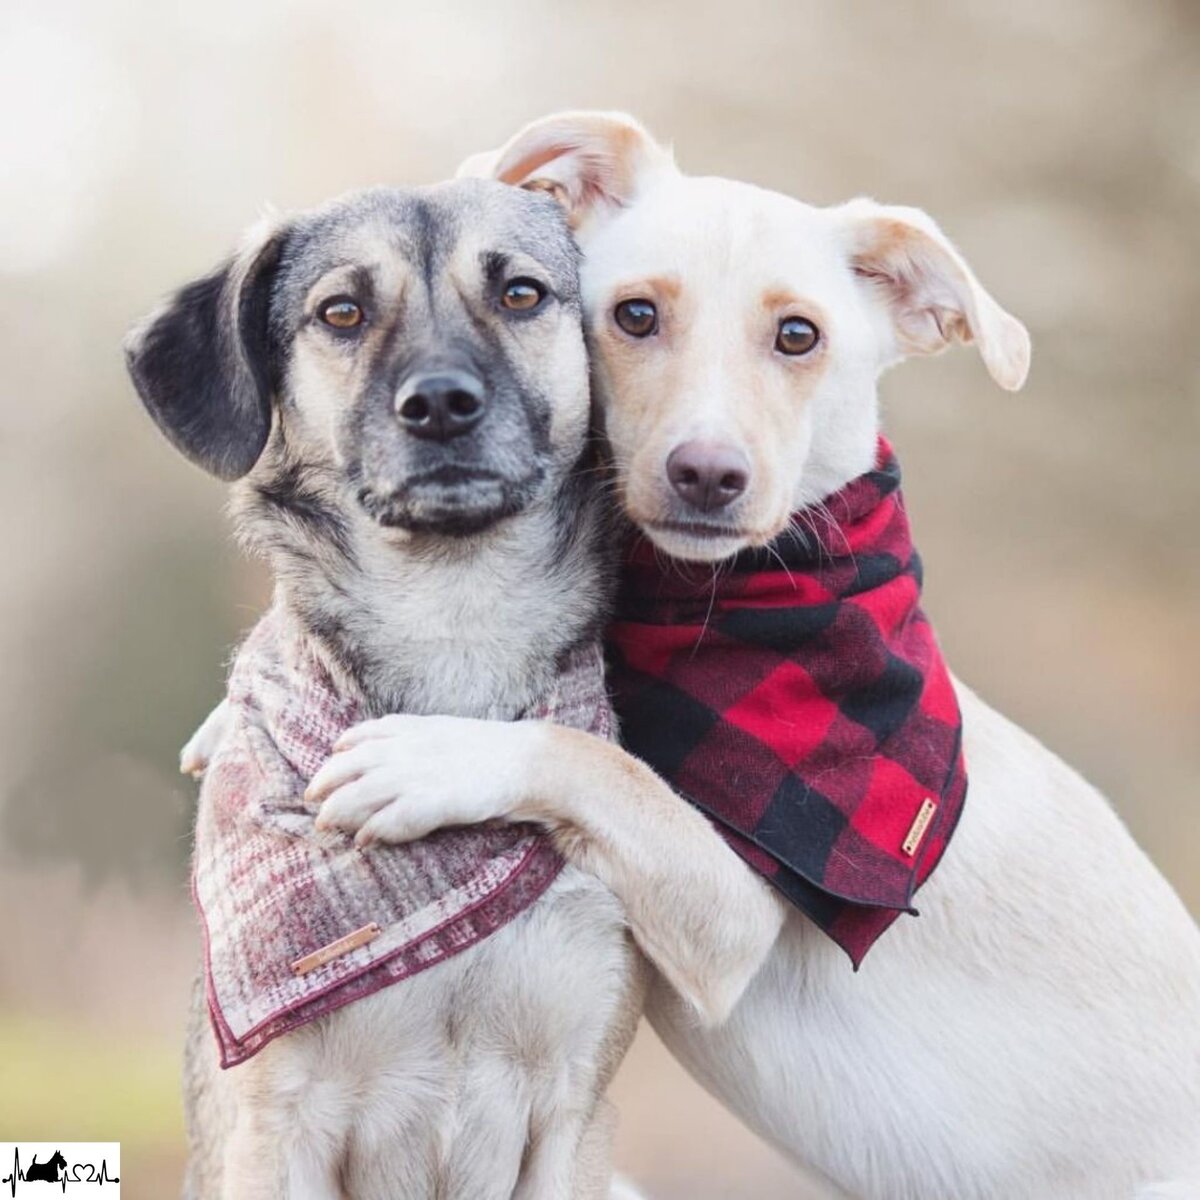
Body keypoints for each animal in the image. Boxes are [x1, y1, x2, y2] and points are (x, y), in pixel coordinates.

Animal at [126, 180, 648, 1200]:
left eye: (522, 294)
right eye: (341, 312)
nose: (440, 403)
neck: (452, 622)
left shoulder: (575, 1108)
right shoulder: (276, 1126)